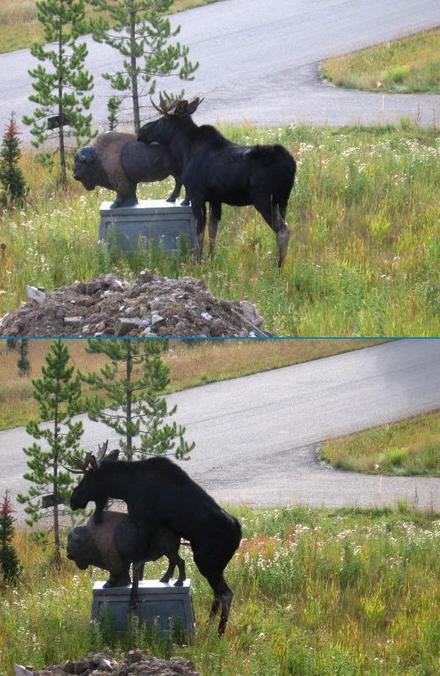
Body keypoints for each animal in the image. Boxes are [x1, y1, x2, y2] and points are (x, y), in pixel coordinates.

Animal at [69, 444, 241, 632]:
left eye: (87, 478)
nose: (73, 499)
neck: (125, 488)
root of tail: (239, 535)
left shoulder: (144, 522)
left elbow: (137, 563)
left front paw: (133, 601)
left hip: (207, 562)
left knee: (226, 593)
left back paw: (219, 631)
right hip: (214, 566)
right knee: (218, 593)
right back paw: (209, 624)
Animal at [138, 94, 296, 266]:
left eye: (163, 118)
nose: (141, 130)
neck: (185, 151)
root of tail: (291, 165)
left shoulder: (196, 195)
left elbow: (200, 233)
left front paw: (198, 262)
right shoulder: (215, 199)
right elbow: (213, 232)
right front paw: (211, 260)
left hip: (264, 198)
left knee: (284, 230)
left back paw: (278, 267)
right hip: (283, 200)